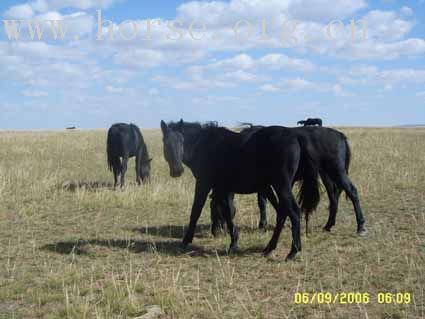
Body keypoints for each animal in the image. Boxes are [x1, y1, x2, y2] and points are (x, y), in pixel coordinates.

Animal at [161, 119, 366, 260]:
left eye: (181, 142)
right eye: (166, 143)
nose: (176, 170)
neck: (206, 145)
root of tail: (297, 138)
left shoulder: (205, 184)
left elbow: (196, 211)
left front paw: (186, 240)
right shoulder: (223, 188)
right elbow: (227, 212)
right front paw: (233, 241)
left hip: (295, 182)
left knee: (297, 210)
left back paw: (294, 250)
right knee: (287, 211)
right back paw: (270, 247)